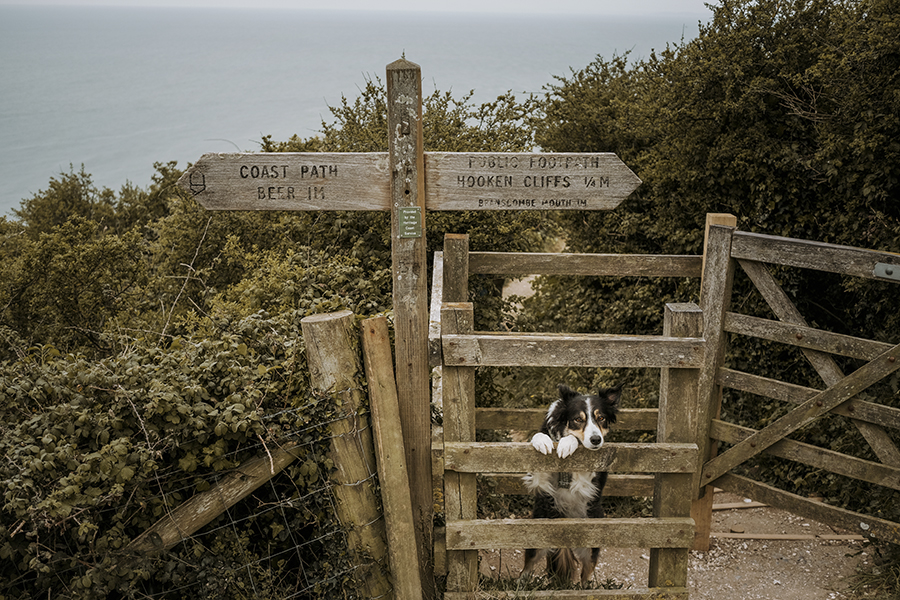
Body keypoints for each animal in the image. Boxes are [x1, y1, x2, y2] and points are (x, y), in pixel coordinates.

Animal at [520, 382, 620, 584]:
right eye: (577, 419)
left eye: (601, 418)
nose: (596, 440)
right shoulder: (539, 480)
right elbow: (540, 440)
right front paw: (543, 441)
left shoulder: (592, 476)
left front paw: (567, 443)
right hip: (538, 532)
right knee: (528, 564)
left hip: (592, 538)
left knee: (587, 571)